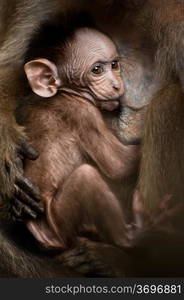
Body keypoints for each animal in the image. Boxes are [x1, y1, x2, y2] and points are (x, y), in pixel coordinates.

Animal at [21, 27, 137, 248]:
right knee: (87, 177)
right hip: (61, 224)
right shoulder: (83, 114)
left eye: (114, 65)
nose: (117, 85)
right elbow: (117, 165)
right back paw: (128, 237)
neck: (67, 92)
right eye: (97, 70)